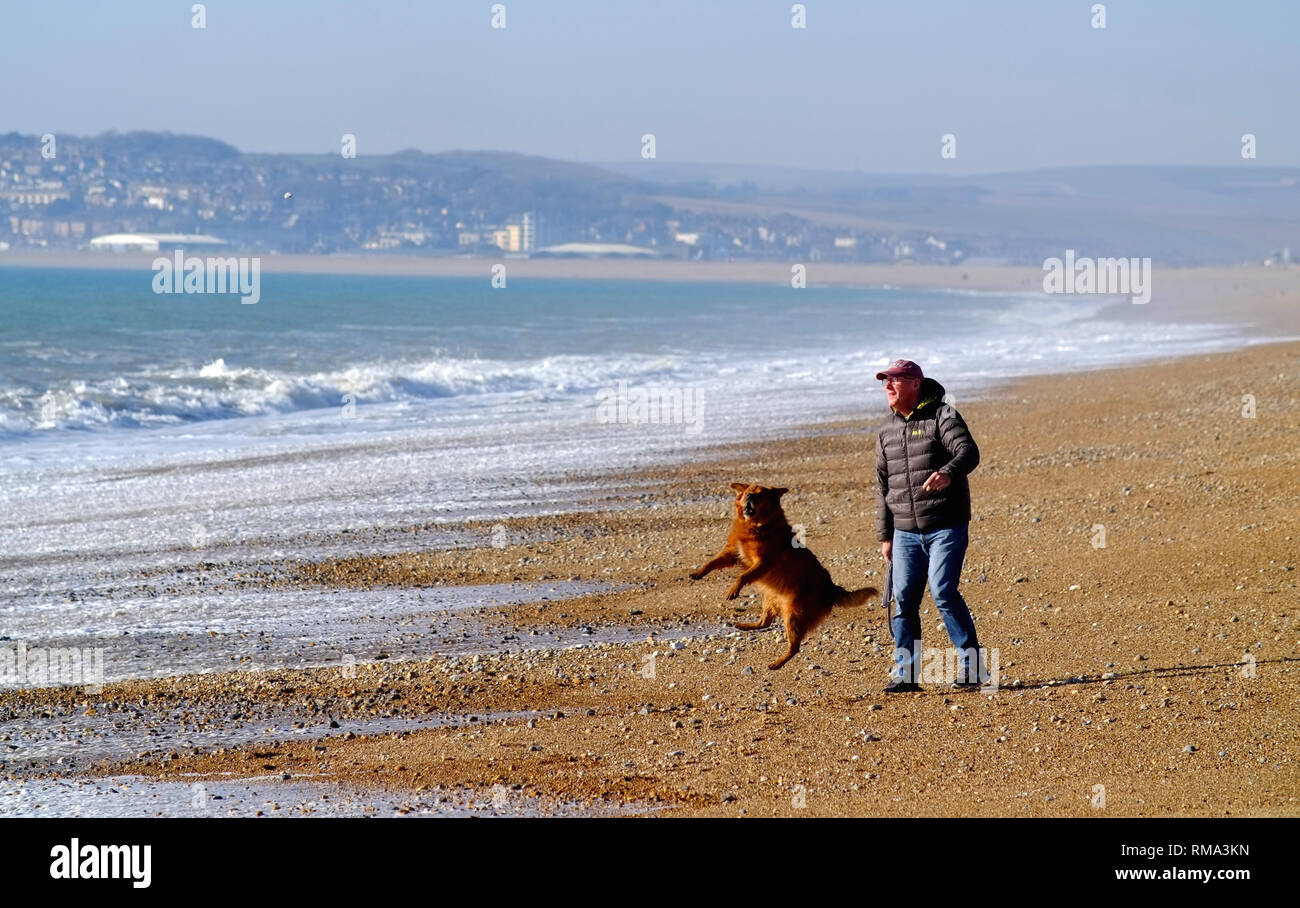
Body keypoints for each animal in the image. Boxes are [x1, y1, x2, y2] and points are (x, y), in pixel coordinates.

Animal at [686, 481, 878, 666]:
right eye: (748, 491)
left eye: (760, 494)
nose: (749, 496)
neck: (755, 525)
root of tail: (830, 587)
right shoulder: (732, 553)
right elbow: (712, 562)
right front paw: (698, 573)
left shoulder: (763, 562)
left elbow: (743, 576)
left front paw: (734, 589)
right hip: (770, 599)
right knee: (764, 623)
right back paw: (745, 626)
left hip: (794, 615)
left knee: (795, 646)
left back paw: (777, 663)